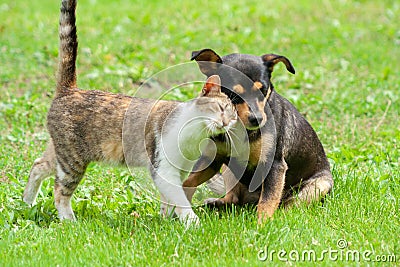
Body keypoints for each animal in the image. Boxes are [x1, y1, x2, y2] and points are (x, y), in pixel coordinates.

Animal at [22, 0, 238, 226]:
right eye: (220, 108)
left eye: (233, 118)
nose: (226, 123)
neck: (194, 136)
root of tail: (69, 89)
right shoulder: (162, 168)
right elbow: (180, 199)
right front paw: (191, 222)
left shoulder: (179, 171)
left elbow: (169, 201)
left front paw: (167, 220)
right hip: (72, 160)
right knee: (59, 191)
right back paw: (69, 220)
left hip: (61, 152)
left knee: (38, 165)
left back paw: (28, 203)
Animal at [183, 48, 332, 224]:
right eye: (234, 94)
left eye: (263, 90)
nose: (257, 119)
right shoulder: (213, 158)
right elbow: (188, 182)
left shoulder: (274, 165)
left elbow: (267, 201)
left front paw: (262, 226)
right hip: (228, 170)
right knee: (233, 198)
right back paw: (214, 204)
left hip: (319, 186)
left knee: (287, 205)